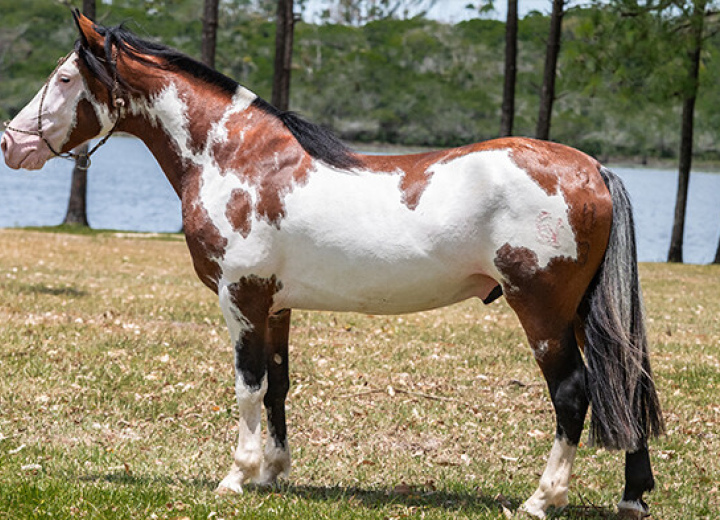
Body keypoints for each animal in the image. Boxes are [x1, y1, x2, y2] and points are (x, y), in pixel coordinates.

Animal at [1, 10, 664, 516]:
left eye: (64, 77)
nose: (11, 143)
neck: (236, 159)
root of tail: (593, 168)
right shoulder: (276, 304)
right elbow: (277, 385)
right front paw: (273, 472)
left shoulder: (241, 298)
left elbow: (247, 386)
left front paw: (236, 475)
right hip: (582, 311)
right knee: (627, 384)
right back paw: (631, 497)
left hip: (543, 310)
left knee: (573, 394)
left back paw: (540, 499)